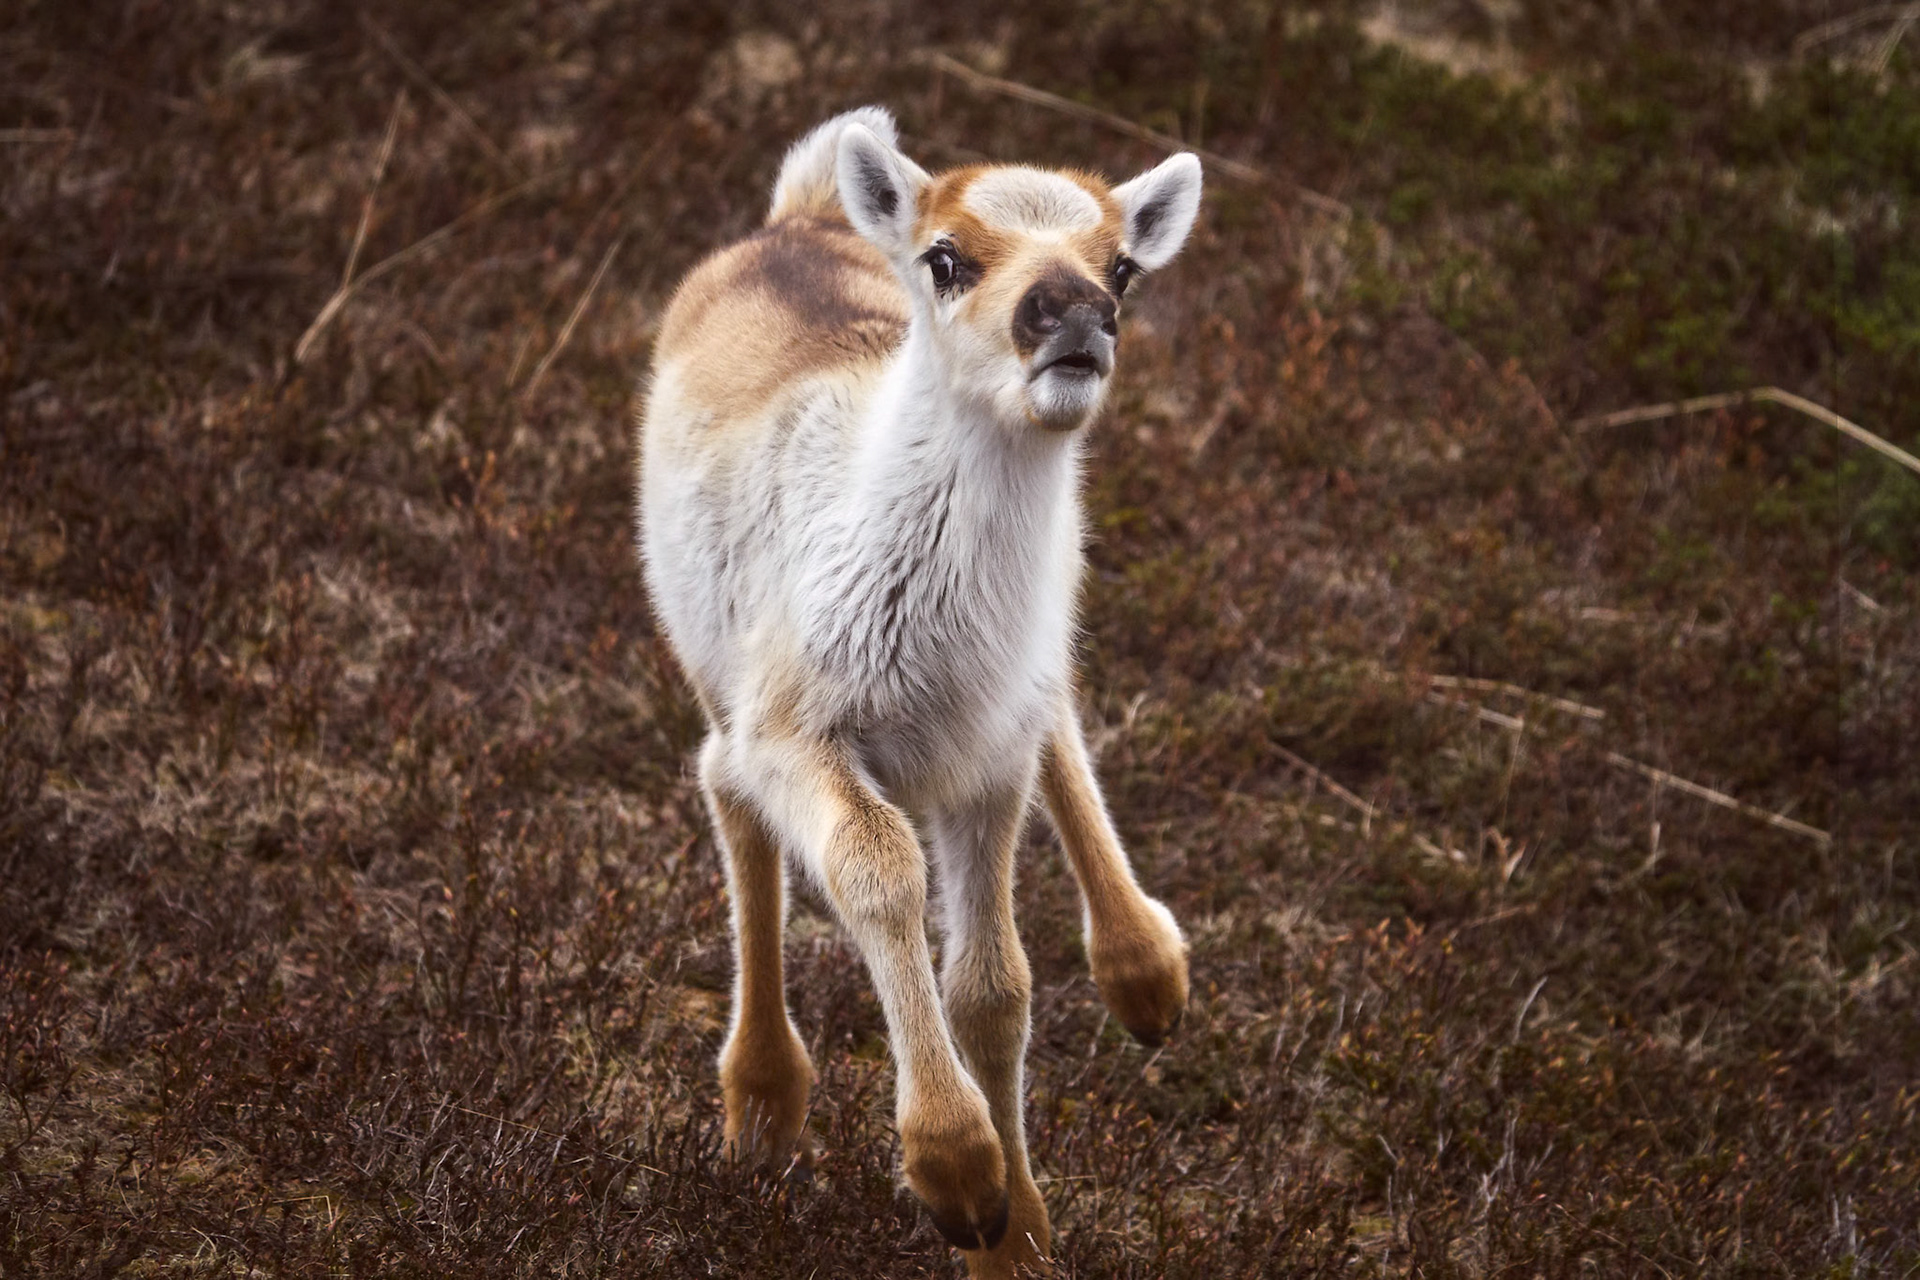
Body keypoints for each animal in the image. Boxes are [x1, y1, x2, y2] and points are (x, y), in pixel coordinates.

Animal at [634, 106, 1201, 1277]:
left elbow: (994, 985)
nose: (1076, 313)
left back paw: (1144, 968)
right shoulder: (798, 722)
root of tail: (799, 211)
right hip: (709, 660)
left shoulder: (983, 758)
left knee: (1058, 704)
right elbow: (878, 867)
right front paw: (954, 1171)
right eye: (946, 257)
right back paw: (762, 1105)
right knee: (725, 789)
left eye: (1123, 265)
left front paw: (1015, 1233)